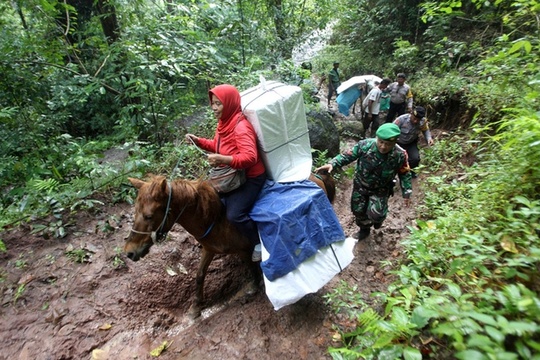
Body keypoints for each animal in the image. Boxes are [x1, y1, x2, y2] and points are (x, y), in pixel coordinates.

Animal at [125, 172, 336, 318]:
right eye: (135, 212)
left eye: (149, 216)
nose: (129, 252)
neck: (214, 218)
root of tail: (315, 176)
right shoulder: (209, 249)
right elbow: (199, 275)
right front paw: (195, 307)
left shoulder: (244, 249)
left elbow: (250, 266)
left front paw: (253, 286)